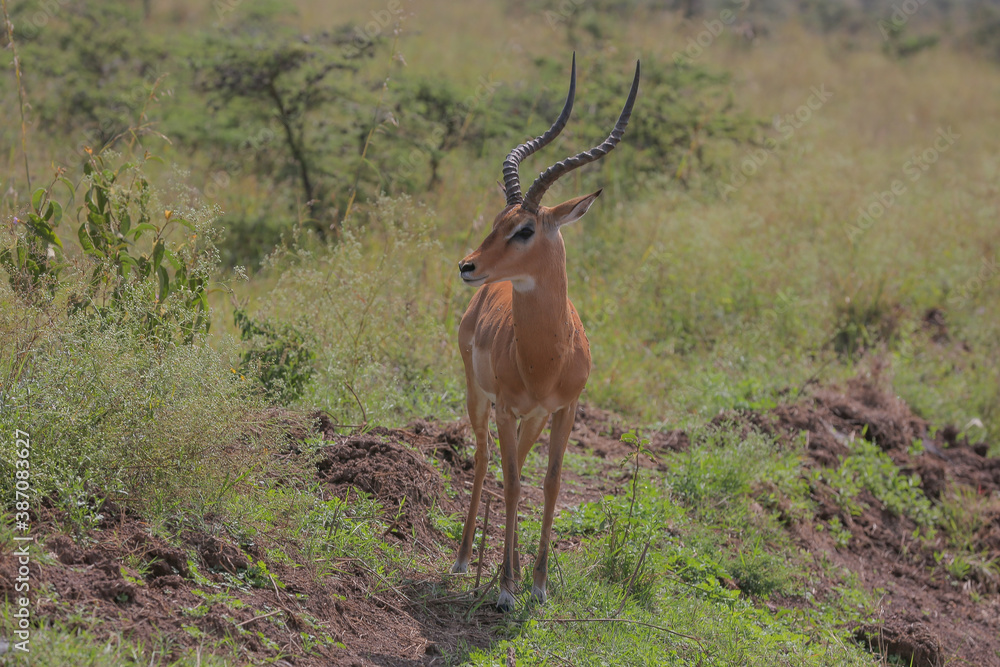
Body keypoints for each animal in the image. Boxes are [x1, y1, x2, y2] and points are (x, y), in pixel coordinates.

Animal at [453, 54, 640, 612]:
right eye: (499, 218)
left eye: (525, 228)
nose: (468, 266)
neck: (545, 358)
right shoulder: (507, 408)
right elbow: (514, 483)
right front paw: (505, 588)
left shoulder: (565, 409)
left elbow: (551, 484)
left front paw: (535, 584)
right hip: (479, 398)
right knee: (486, 459)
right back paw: (465, 560)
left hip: (530, 419)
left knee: (513, 462)